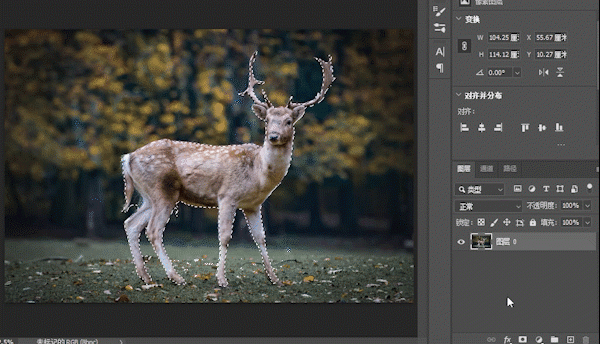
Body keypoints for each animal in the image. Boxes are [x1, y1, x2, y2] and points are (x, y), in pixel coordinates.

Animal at [120, 51, 338, 288]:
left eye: (289, 121)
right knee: (153, 230)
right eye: (267, 121)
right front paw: (221, 279)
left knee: (131, 223)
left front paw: (275, 278)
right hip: (162, 190)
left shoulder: (253, 205)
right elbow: (225, 237)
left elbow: (261, 238)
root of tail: (128, 158)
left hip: (148, 195)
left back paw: (146, 277)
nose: (273, 136)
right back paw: (176, 277)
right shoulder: (227, 195)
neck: (258, 174)